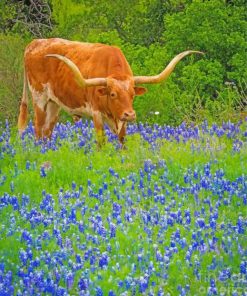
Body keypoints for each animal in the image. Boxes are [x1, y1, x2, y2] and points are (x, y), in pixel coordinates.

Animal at [17, 38, 203, 145]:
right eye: (112, 94)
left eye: (132, 95)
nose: (130, 114)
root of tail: (33, 44)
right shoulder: (96, 113)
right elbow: (101, 142)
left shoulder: (120, 119)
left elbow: (122, 140)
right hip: (39, 98)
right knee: (38, 128)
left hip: (54, 103)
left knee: (47, 132)